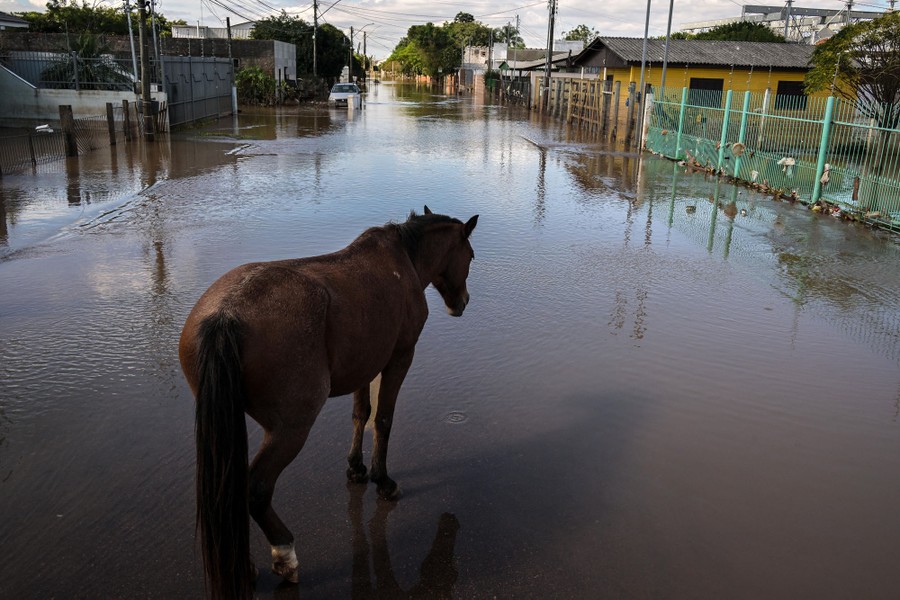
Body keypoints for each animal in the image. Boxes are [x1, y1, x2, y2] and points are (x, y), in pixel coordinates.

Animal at [178, 206, 478, 600]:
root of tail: (225, 314)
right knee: (256, 487)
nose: (462, 303)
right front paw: (383, 481)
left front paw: (356, 468)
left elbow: (360, 414)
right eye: (470, 256)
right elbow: (383, 420)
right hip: (291, 429)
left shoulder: (365, 363)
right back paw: (284, 554)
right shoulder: (398, 358)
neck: (404, 262)